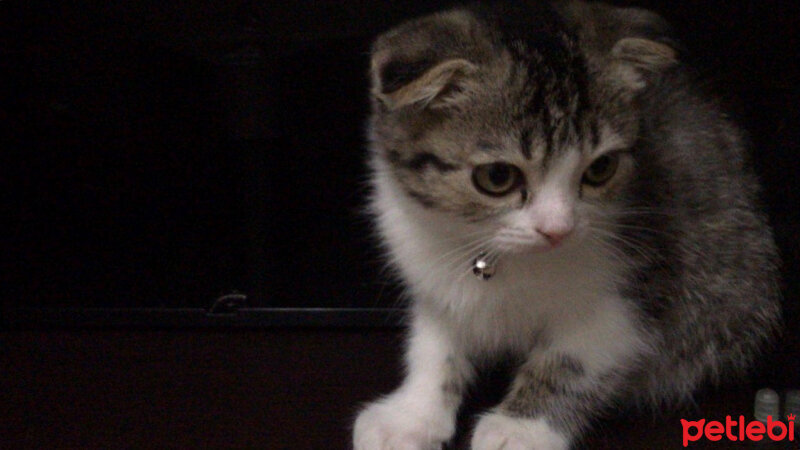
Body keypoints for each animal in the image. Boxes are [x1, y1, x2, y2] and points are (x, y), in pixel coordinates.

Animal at [354, 1, 780, 448]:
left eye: (601, 168)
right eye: (498, 177)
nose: (557, 229)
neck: (504, 255)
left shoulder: (639, 283)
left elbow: (574, 358)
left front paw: (520, 429)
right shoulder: (431, 268)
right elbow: (437, 346)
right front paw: (411, 415)